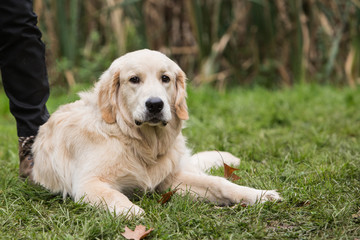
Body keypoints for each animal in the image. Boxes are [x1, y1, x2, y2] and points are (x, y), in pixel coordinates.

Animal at [31, 49, 282, 218]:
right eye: (134, 79)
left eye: (165, 78)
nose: (155, 105)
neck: (136, 141)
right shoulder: (88, 184)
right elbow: (115, 197)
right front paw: (134, 213)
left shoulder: (171, 179)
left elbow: (220, 184)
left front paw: (258, 195)